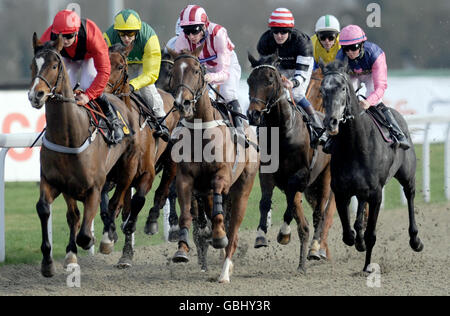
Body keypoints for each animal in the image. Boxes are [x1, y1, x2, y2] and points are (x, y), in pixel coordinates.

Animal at [28, 34, 141, 276]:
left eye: (54, 65)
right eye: (34, 65)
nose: (36, 95)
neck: (68, 135)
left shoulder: (93, 188)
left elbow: (86, 233)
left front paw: (93, 241)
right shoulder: (57, 183)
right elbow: (52, 211)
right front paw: (51, 261)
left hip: (128, 166)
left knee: (117, 200)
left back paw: (108, 238)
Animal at [100, 43, 179, 268]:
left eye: (120, 66)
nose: (103, 91)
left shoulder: (145, 174)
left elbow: (137, 203)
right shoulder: (111, 177)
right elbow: (110, 205)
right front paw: (113, 237)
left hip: (172, 160)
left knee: (165, 189)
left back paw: (155, 221)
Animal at [168, 45, 260, 282]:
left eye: (196, 70)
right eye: (173, 72)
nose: (183, 103)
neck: (202, 131)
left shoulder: (222, 176)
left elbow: (220, 215)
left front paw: (218, 236)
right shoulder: (185, 179)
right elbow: (186, 214)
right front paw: (182, 249)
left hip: (243, 189)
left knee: (233, 233)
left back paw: (224, 271)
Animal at [246, 53, 338, 272]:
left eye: (269, 81)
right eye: (249, 81)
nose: (253, 114)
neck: (283, 132)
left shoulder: (300, 175)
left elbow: (291, 204)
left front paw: (284, 232)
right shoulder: (267, 172)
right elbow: (265, 201)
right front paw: (261, 236)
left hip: (324, 178)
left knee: (319, 214)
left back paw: (314, 250)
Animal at [320, 59, 422, 272]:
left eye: (343, 88)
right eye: (322, 90)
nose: (331, 122)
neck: (355, 145)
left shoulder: (376, 193)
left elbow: (371, 234)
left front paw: (368, 266)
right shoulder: (341, 192)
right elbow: (347, 234)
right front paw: (357, 240)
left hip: (407, 175)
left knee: (410, 195)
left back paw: (415, 240)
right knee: (360, 209)